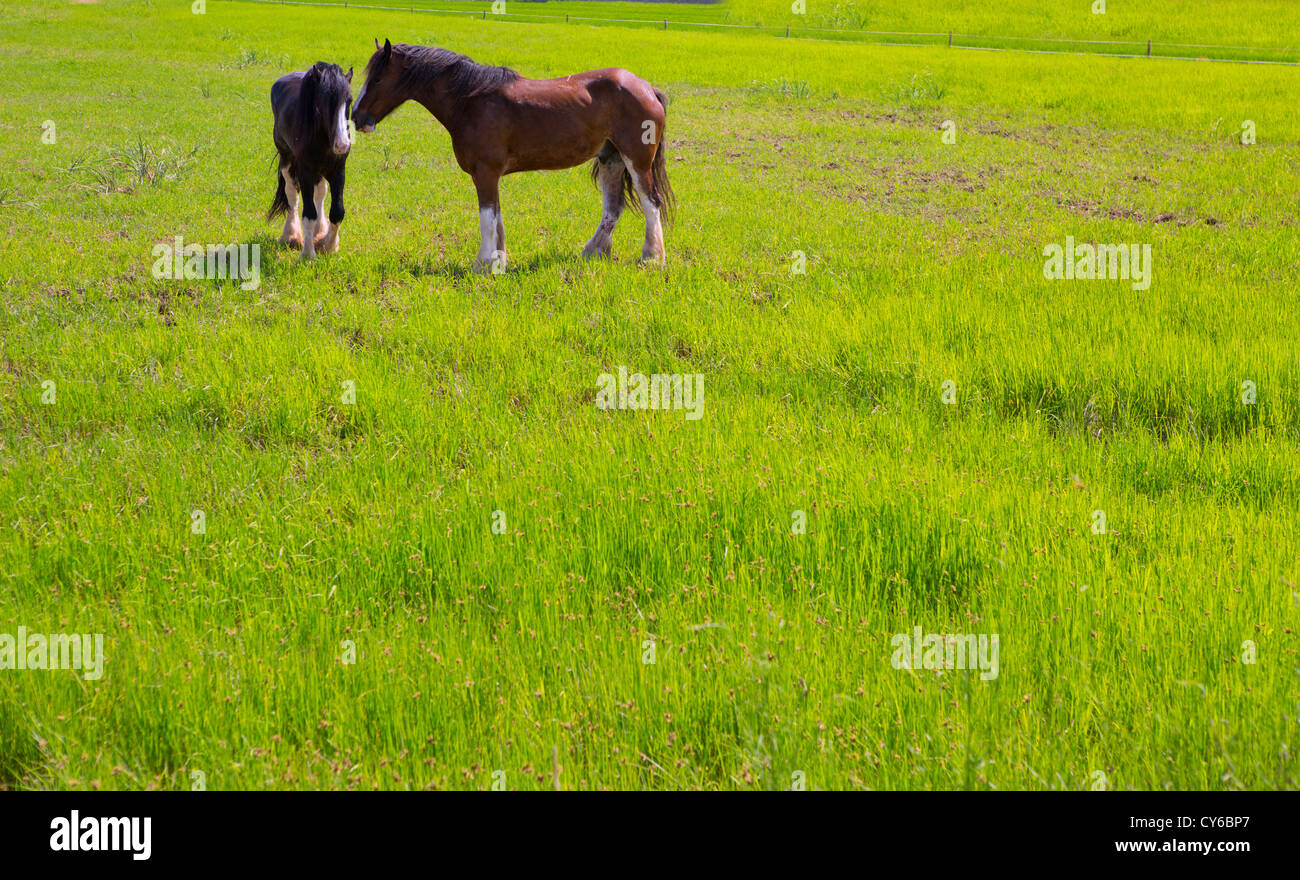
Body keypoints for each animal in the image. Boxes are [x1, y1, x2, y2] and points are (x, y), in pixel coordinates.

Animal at [269, 61, 353, 258]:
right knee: (292, 196)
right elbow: (308, 214)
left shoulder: (338, 170)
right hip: (287, 160)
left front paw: (329, 246)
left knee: (320, 193)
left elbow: (337, 212)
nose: (342, 144)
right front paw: (307, 254)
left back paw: (319, 232)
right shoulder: (305, 172)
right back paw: (290, 235)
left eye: (350, 100)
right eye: (324, 101)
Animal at [351, 39, 676, 271]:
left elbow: (487, 217)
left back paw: (652, 259)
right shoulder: (490, 175)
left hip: (637, 161)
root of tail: (648, 88)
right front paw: (499, 260)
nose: (356, 117)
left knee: (651, 204)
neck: (470, 100)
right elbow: (497, 218)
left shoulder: (485, 173)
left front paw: (484, 265)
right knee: (613, 208)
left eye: (377, 79)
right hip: (611, 160)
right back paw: (591, 252)